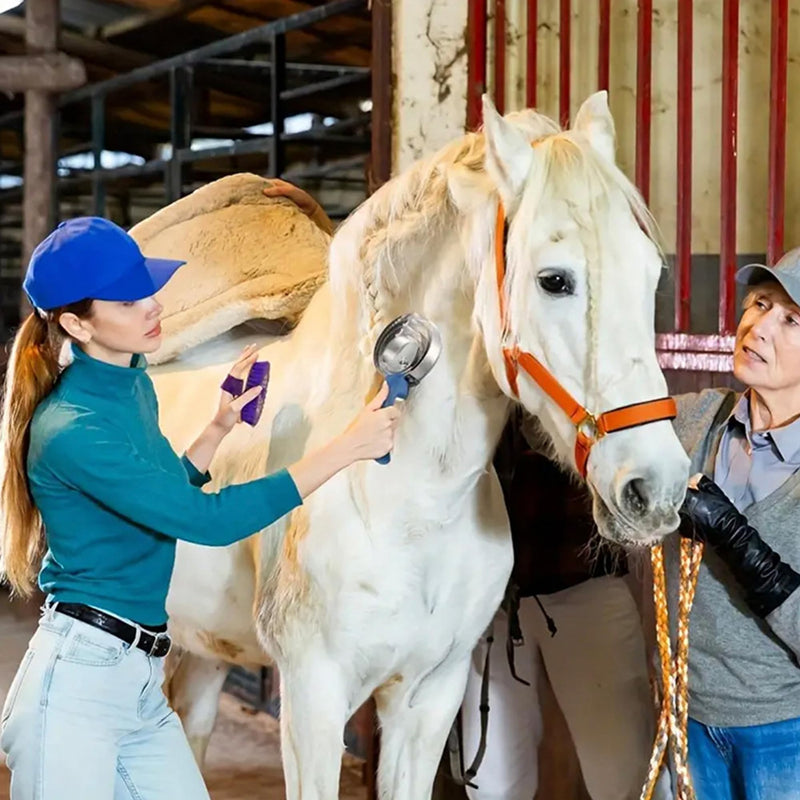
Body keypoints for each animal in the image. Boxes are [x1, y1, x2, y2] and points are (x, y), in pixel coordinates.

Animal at [147, 92, 690, 800]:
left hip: (205, 645)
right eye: (554, 280)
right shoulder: (312, 703)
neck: (409, 503)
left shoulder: (429, 699)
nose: (658, 486)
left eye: (651, 274)